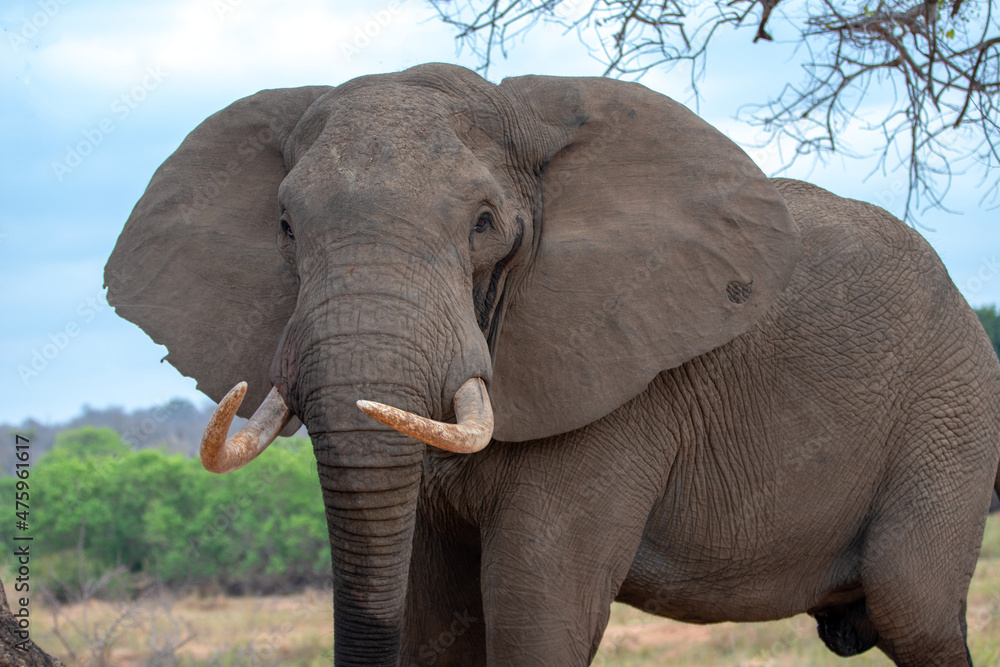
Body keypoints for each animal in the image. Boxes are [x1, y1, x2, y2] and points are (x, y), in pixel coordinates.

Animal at [104, 63, 1000, 666]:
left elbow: (536, 612)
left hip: (953, 416)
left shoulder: (620, 388)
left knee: (913, 606)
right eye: (286, 225)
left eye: (484, 223)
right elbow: (433, 617)